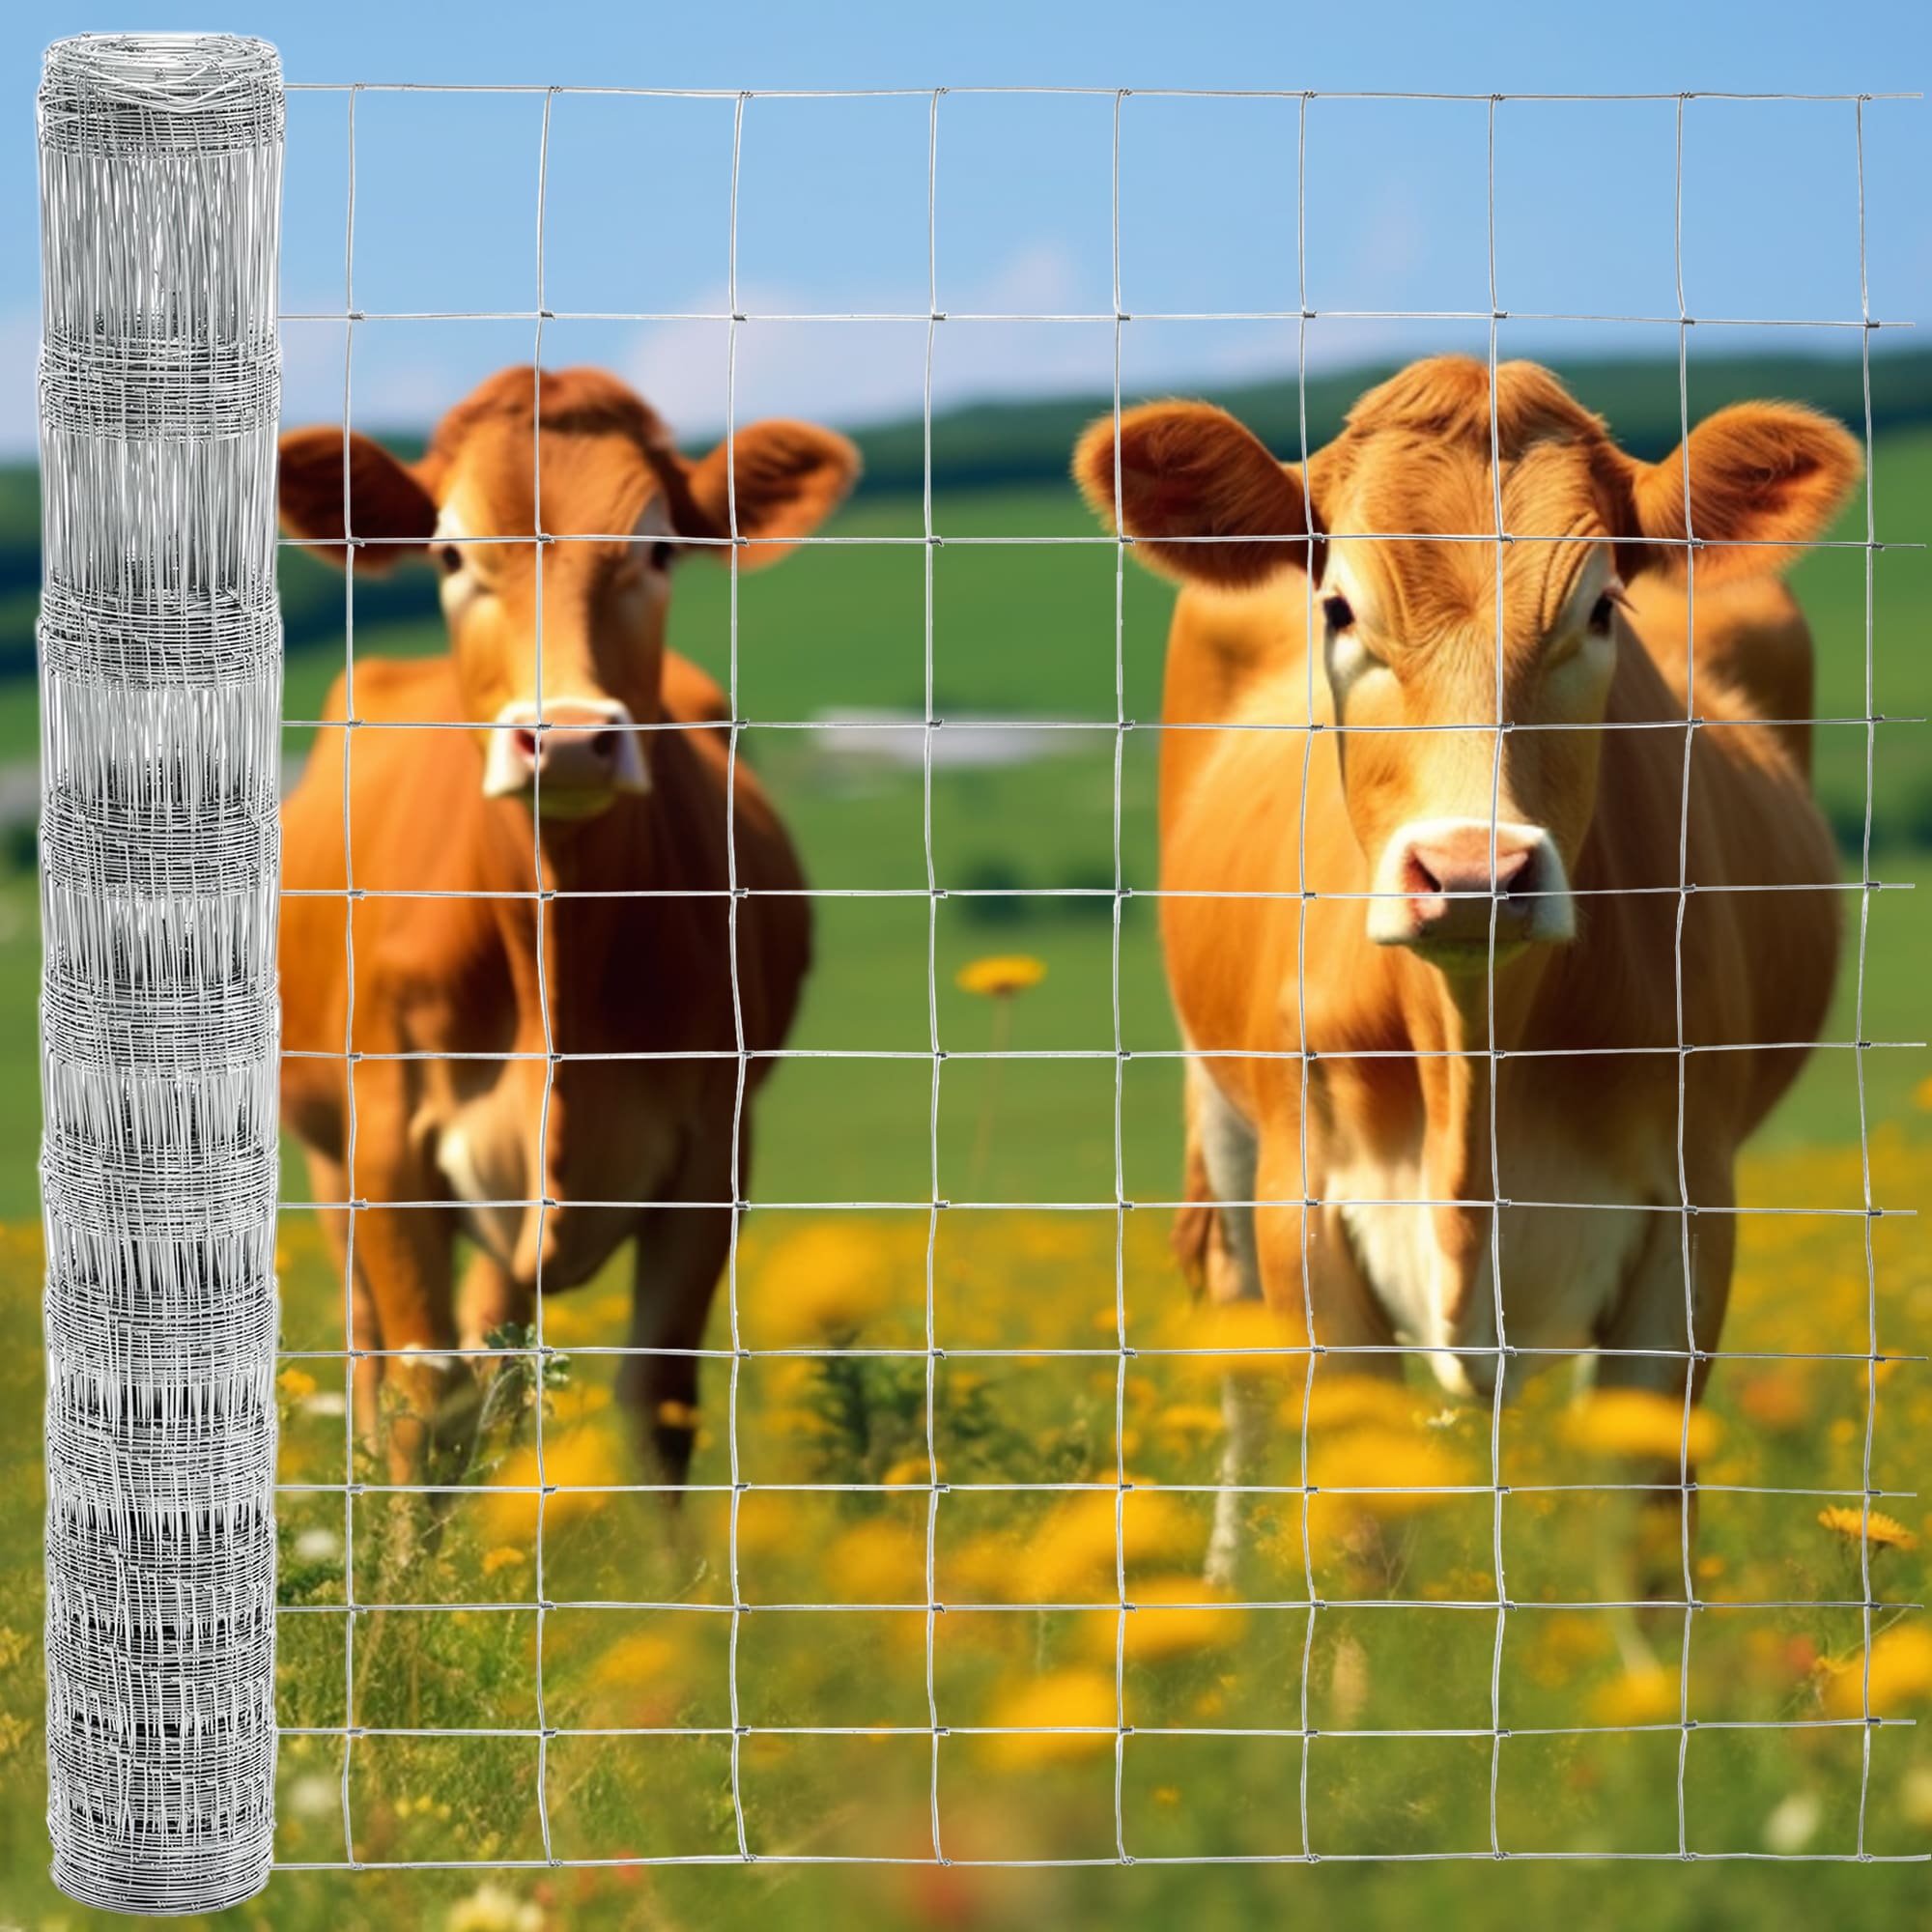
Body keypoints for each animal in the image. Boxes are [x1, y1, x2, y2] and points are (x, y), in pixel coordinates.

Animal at [277, 366, 859, 1484]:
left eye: (659, 548)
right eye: (450, 554)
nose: (572, 740)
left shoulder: (712, 1152)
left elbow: (655, 1401)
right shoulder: (388, 1149)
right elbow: (420, 1405)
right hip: (330, 1158)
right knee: (377, 1361)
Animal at [1074, 356, 1859, 1584]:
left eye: (1599, 608)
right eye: (1337, 608)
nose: (1470, 869)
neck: (1469, 1048)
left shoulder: (1688, 1217)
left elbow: (1642, 1539)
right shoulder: (1308, 1208)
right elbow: (1361, 1536)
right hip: (1222, 1107)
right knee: (1237, 1355)